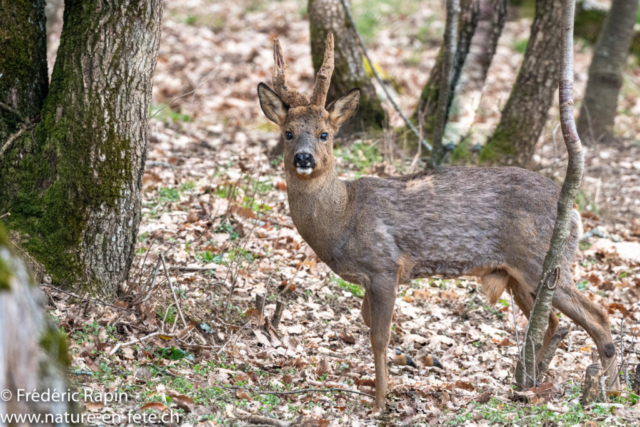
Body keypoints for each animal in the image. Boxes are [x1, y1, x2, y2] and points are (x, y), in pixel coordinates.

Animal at [258, 35, 616, 412]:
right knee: (551, 319)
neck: (343, 218)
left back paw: (608, 390)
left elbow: (379, 337)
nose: (304, 158)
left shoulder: (384, 267)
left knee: (597, 316)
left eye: (324, 134)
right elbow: (368, 324)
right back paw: (531, 383)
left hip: (543, 262)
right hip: (520, 275)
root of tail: (575, 213)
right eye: (288, 133)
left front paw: (380, 403)